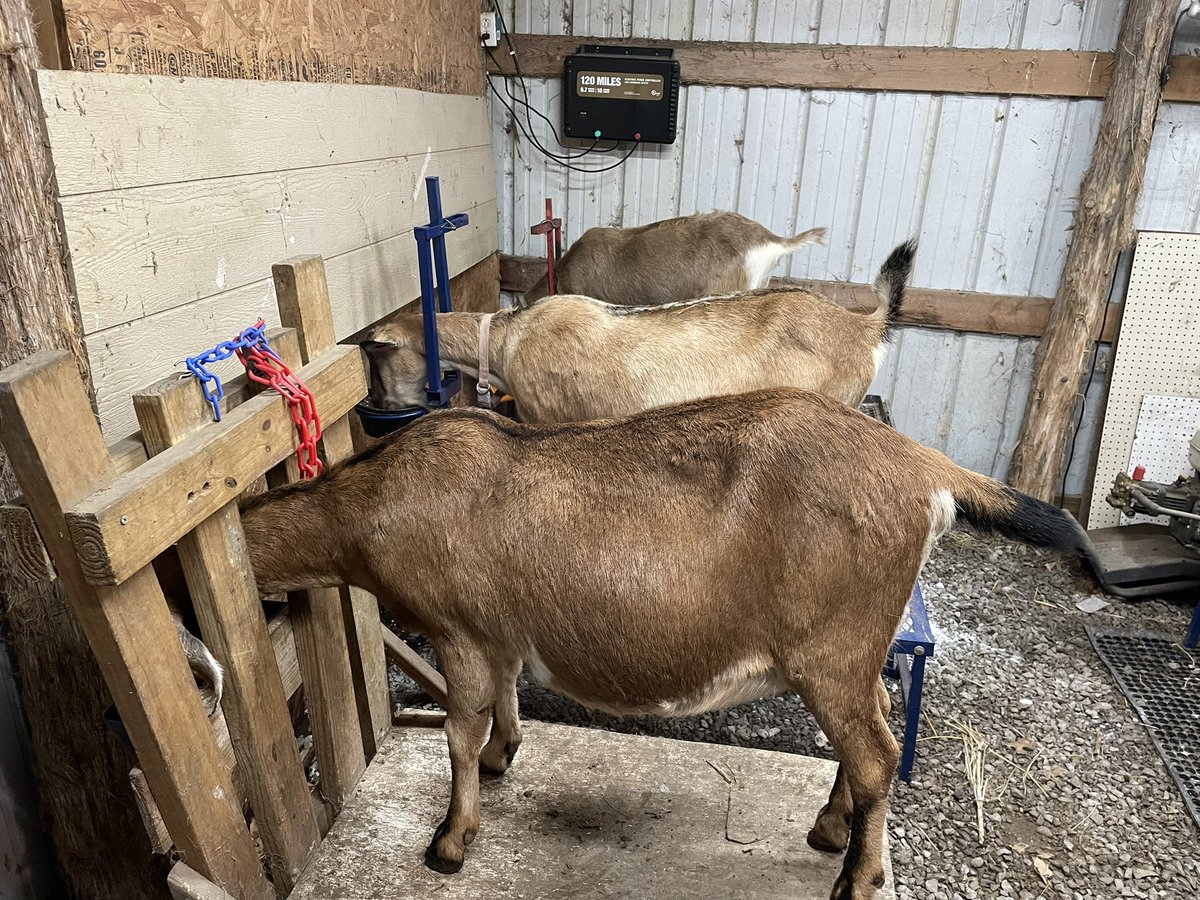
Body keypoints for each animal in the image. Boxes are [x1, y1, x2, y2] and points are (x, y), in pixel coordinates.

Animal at [239, 389, 1090, 900]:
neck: (368, 505)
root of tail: (922, 466)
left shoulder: (460, 630)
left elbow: (456, 732)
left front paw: (449, 842)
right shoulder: (498, 631)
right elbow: (503, 701)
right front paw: (504, 756)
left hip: (831, 650)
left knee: (877, 753)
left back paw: (855, 877)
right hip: (853, 651)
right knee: (871, 727)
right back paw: (829, 827)